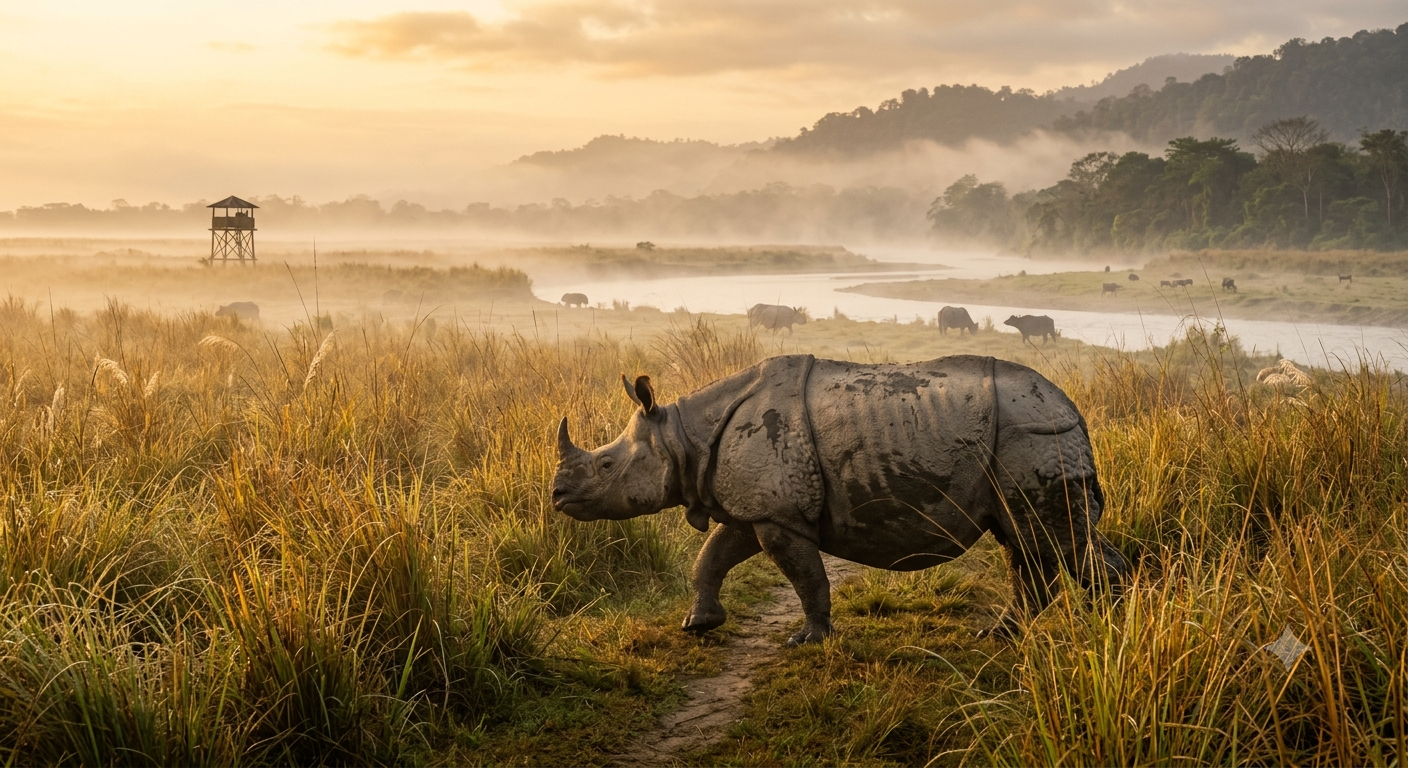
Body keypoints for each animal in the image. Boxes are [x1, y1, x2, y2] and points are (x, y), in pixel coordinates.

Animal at [552, 354, 1127, 645]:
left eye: (606, 466)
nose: (557, 496)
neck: (683, 437)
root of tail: (1071, 406)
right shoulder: (758, 505)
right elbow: (712, 556)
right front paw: (699, 626)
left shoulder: (778, 514)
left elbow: (806, 576)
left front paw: (809, 640)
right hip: (1026, 433)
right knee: (1024, 540)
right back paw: (1002, 635)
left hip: (1031, 431)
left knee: (1054, 539)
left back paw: (1111, 631)